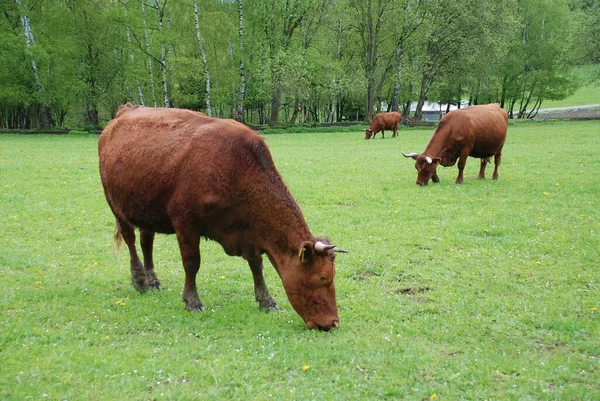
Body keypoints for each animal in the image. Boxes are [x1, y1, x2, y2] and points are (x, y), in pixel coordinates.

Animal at [99, 104, 346, 330]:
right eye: (323, 278)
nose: (333, 322)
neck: (235, 168)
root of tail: (125, 111)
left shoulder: (250, 232)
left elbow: (257, 266)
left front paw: (266, 300)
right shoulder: (185, 224)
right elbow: (192, 263)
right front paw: (192, 301)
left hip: (146, 209)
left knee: (146, 242)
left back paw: (152, 280)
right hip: (117, 207)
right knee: (131, 240)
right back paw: (140, 280)